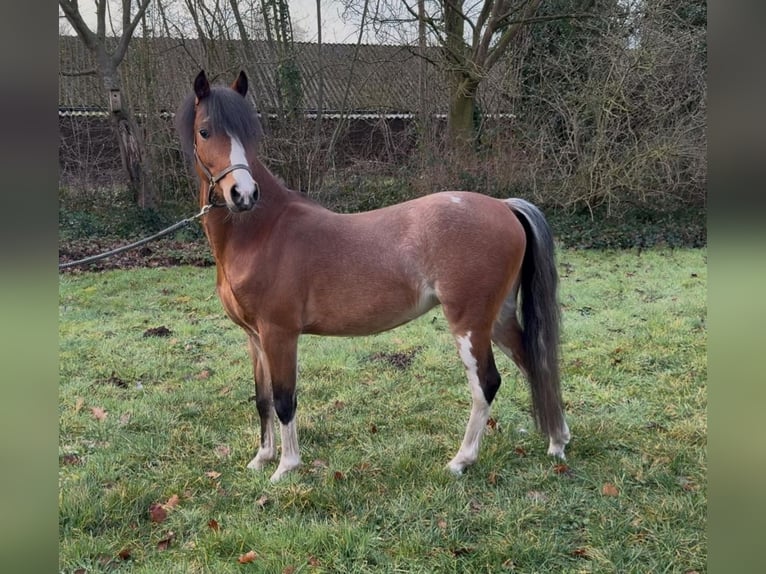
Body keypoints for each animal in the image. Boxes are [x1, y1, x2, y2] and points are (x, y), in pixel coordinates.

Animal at [176, 70, 570, 482]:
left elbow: (284, 399)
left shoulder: (278, 333)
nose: (244, 194)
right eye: (205, 131)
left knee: (486, 383)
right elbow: (263, 398)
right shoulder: (255, 338)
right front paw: (262, 458)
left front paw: (286, 468)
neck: (262, 231)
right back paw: (557, 442)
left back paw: (461, 460)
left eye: (250, 133)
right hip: (497, 318)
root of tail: (504, 206)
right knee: (536, 363)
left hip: (469, 322)